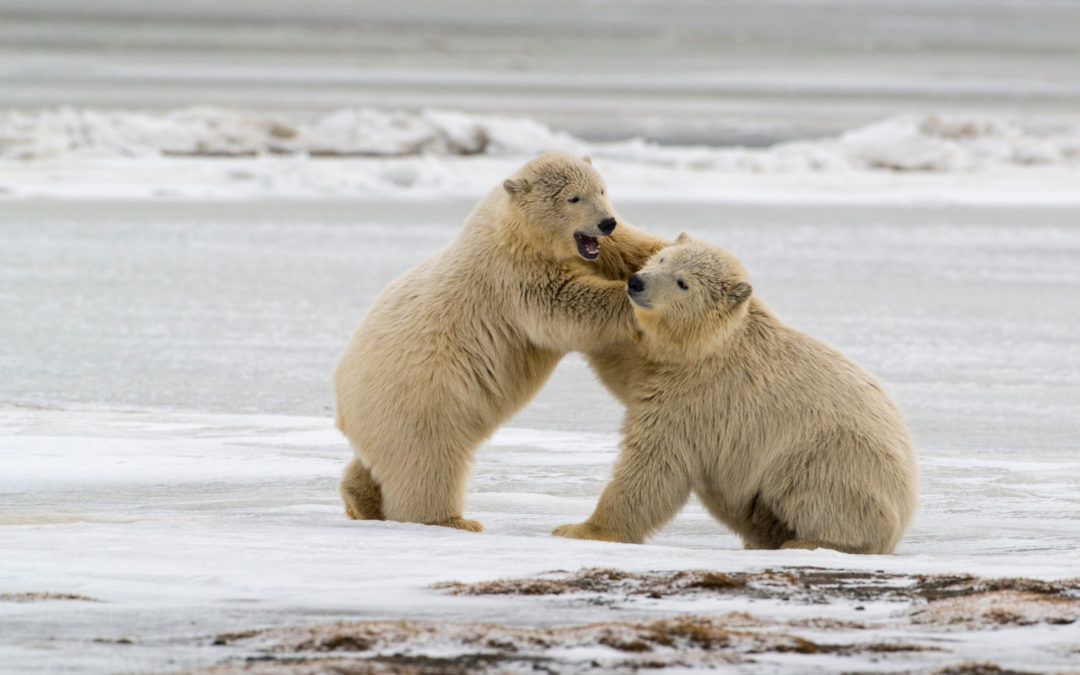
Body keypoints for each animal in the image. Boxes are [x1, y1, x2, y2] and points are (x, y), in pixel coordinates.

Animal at [332, 152, 665, 531]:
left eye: (602, 190)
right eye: (573, 198)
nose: (606, 222)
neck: (512, 226)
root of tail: (341, 396)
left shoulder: (592, 249)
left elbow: (630, 248)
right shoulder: (513, 274)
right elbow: (563, 306)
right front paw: (630, 299)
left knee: (377, 462)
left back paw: (360, 500)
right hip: (420, 398)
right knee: (427, 461)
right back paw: (451, 520)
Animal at [557, 233, 920, 552]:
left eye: (683, 283)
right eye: (662, 259)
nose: (637, 282)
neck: (716, 344)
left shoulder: (697, 395)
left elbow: (654, 465)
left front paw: (582, 529)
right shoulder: (666, 365)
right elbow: (622, 365)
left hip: (829, 459)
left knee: (819, 496)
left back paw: (809, 542)